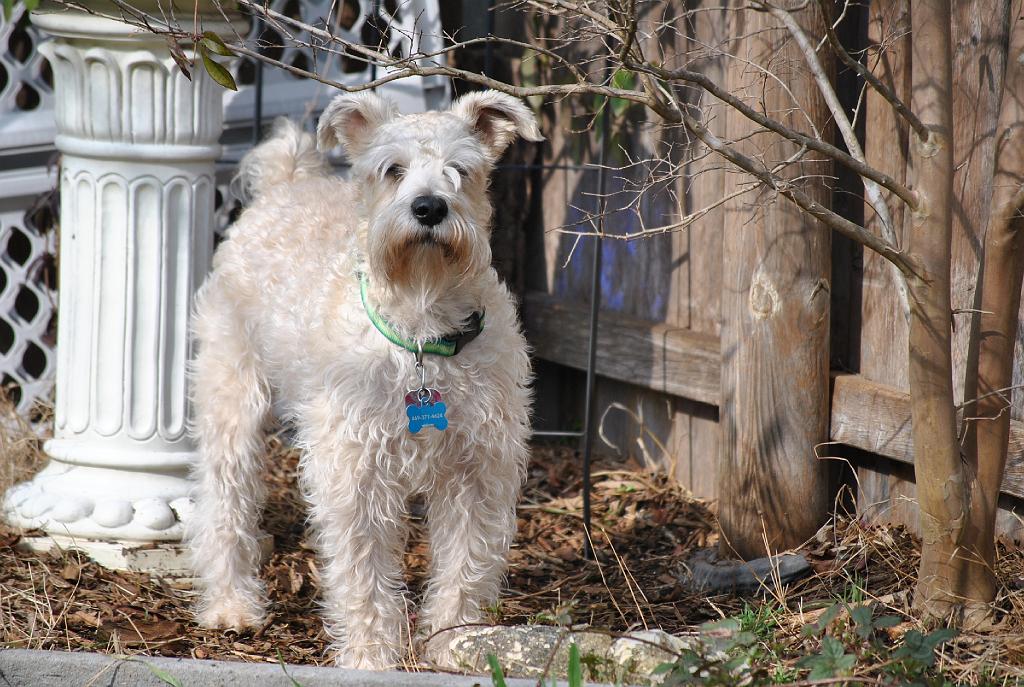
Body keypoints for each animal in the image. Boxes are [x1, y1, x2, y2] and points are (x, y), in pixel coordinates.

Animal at [189, 88, 548, 667]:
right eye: (392, 169)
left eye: (460, 171)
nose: (429, 207)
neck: (423, 331)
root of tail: (286, 182)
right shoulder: (355, 474)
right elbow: (364, 576)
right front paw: (370, 656)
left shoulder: (478, 472)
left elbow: (466, 566)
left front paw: (453, 643)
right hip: (232, 401)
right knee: (223, 505)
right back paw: (232, 606)